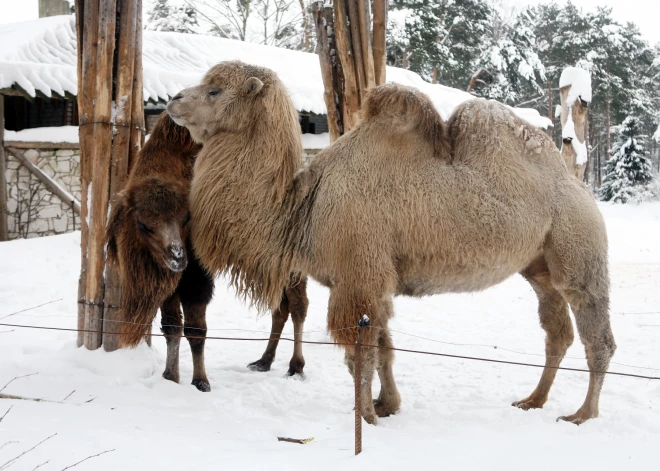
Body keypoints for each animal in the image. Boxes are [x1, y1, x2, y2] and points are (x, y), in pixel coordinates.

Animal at [168, 60, 616, 426]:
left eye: (214, 90)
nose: (173, 99)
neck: (302, 208)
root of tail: (576, 184)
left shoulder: (359, 276)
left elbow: (361, 353)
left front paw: (365, 416)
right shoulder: (371, 280)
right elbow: (382, 346)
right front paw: (386, 405)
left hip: (579, 248)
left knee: (597, 333)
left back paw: (582, 414)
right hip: (537, 265)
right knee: (557, 331)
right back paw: (533, 400)